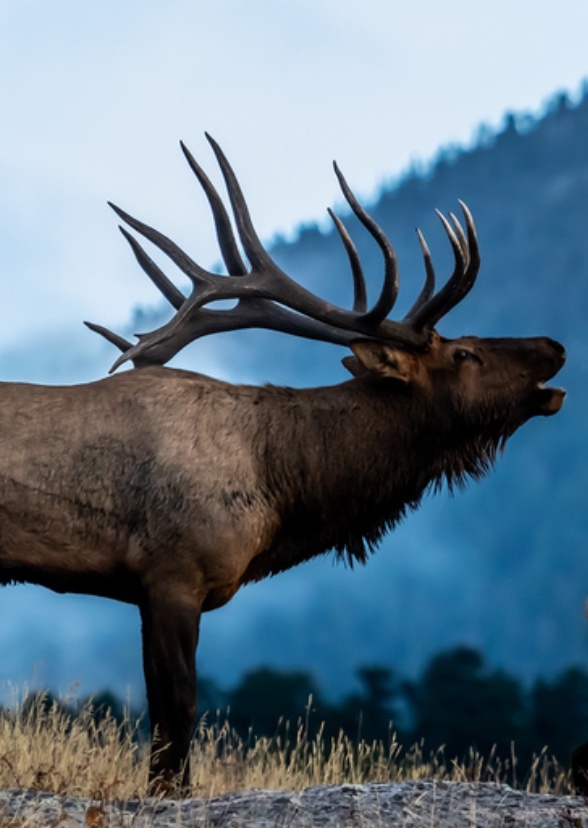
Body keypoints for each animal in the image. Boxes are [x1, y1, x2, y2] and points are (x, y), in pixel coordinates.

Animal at [0, 136, 565, 791]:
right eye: (465, 352)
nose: (555, 345)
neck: (279, 487)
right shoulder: (174, 572)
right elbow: (177, 712)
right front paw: (169, 794)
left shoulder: (148, 588)